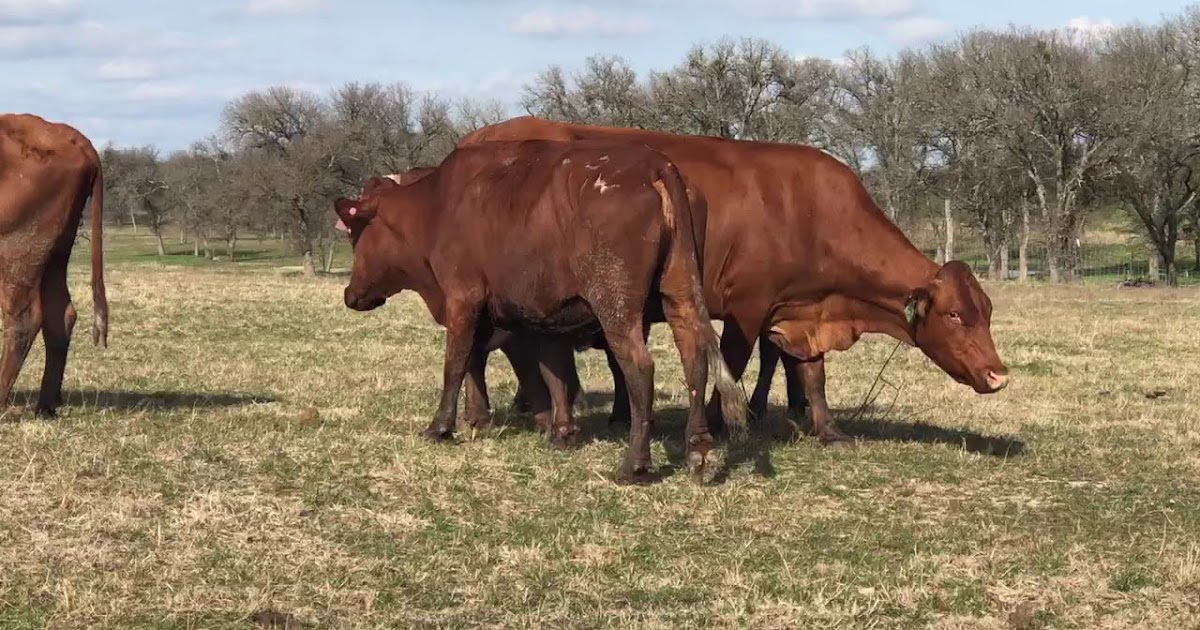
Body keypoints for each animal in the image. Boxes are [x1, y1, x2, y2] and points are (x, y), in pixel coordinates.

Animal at [333, 139, 748, 483]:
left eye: (355, 233)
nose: (350, 294)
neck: (437, 205)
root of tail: (654, 163)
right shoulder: (544, 315)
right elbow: (550, 371)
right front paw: (556, 430)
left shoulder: (463, 298)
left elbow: (457, 363)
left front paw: (442, 426)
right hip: (679, 292)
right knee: (694, 358)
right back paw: (697, 451)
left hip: (616, 304)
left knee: (639, 369)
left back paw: (635, 464)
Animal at [457, 117, 1009, 445]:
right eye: (955, 314)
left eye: (986, 311)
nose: (999, 375)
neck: (810, 212)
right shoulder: (747, 309)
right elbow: (737, 362)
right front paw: (723, 423)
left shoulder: (799, 312)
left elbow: (812, 375)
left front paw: (828, 430)